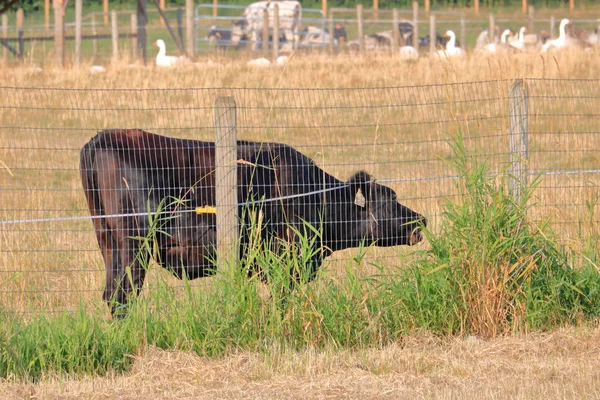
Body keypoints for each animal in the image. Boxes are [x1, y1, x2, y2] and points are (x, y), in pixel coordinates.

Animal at [81, 130, 426, 314]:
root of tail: (102, 138)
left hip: (109, 243)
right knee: (122, 296)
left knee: (112, 295)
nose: (420, 220)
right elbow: (280, 302)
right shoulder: (285, 260)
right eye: (391, 199)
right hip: (133, 245)